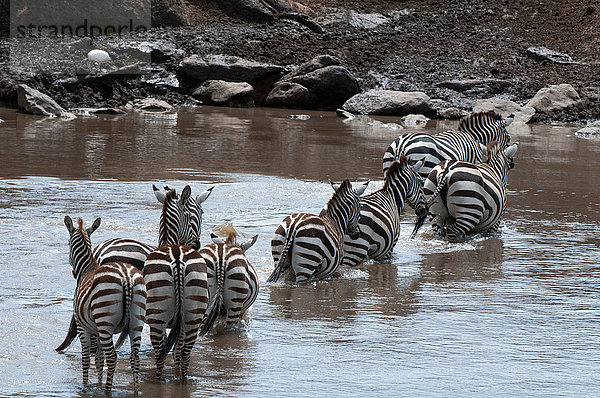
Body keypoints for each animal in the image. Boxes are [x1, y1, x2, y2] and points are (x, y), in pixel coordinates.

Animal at [63, 218, 146, 394]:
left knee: (112, 357)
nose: (73, 273)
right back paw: (135, 391)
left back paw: (108, 390)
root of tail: (126, 277)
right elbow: (99, 360)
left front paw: (86, 385)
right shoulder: (96, 329)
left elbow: (87, 358)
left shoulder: (83, 326)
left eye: (67, 242)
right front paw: (98, 384)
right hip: (136, 320)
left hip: (105, 321)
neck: (86, 270)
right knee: (134, 357)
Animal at [143, 187, 211, 380]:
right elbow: (177, 352)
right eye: (192, 214)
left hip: (157, 316)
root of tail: (177, 257)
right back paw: (183, 380)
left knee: (160, 354)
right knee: (185, 353)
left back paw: (158, 380)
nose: (197, 244)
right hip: (193, 315)